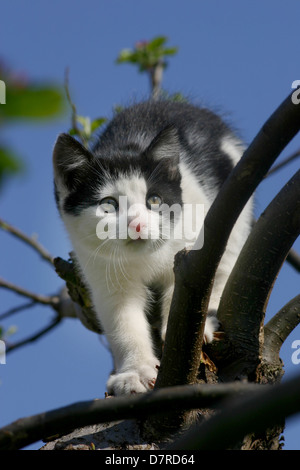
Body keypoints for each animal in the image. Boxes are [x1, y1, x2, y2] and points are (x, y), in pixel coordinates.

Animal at [52, 100, 252, 396]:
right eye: (108, 204)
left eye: (155, 200)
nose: (137, 224)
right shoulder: (99, 268)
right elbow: (123, 319)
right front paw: (134, 372)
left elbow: (188, 285)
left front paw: (187, 326)